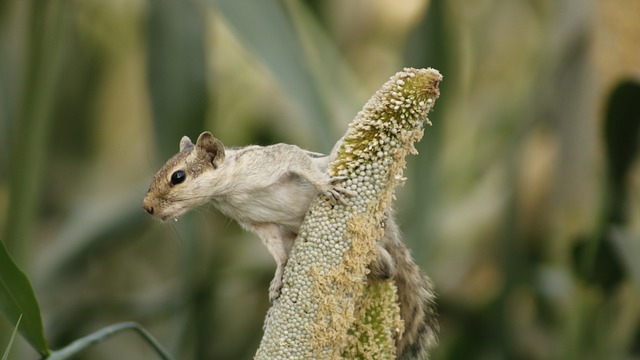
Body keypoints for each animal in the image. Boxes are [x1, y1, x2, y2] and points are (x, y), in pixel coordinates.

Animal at [142, 131, 438, 358]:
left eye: (178, 177)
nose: (147, 208)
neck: (228, 192)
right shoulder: (261, 225)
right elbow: (277, 253)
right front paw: (278, 278)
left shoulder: (273, 161)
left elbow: (298, 159)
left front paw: (325, 185)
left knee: (388, 265)